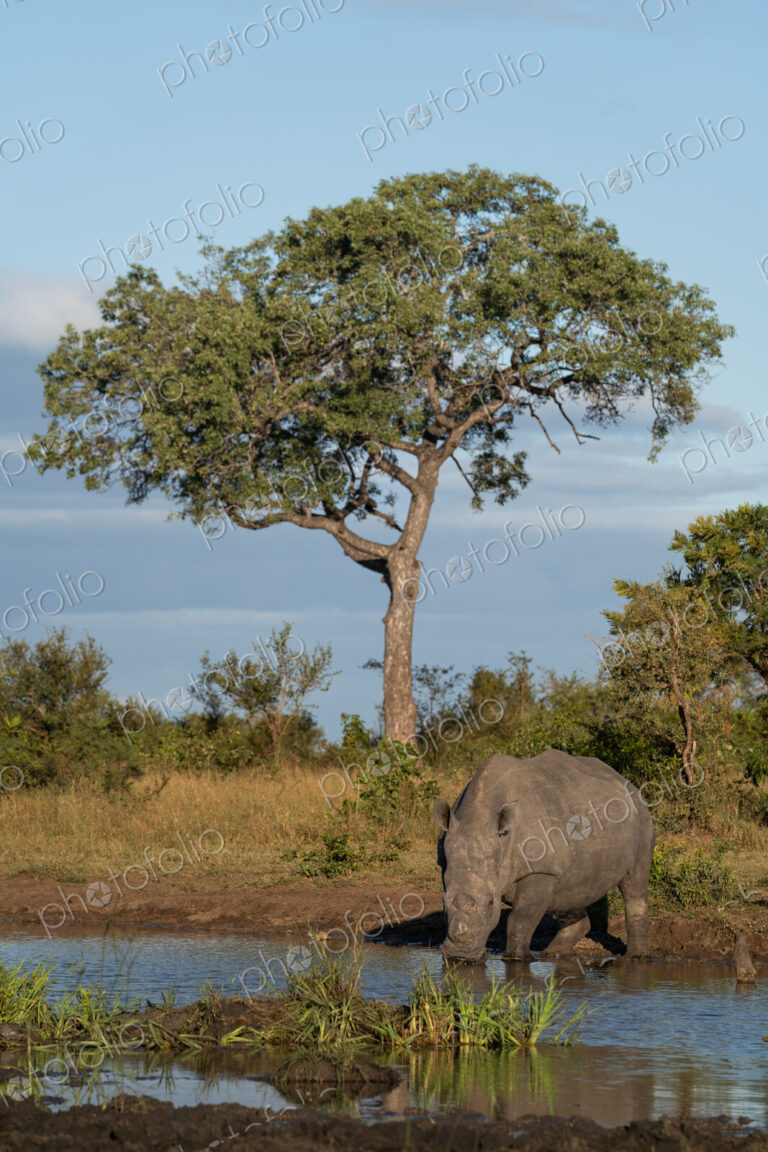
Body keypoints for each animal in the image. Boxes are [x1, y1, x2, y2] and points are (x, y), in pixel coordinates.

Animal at [433, 750, 655, 963]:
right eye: (442, 901)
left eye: (491, 903)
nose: (460, 956)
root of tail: (628, 784)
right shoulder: (446, 863)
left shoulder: (542, 870)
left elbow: (520, 920)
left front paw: (517, 959)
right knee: (572, 890)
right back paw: (554, 954)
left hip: (642, 821)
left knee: (634, 883)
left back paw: (635, 958)